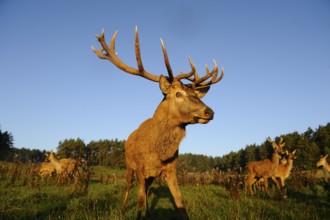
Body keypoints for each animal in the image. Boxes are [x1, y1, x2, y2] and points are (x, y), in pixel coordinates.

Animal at [91, 26, 223, 219]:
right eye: (178, 94)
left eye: (196, 95)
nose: (210, 112)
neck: (158, 152)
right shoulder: (140, 168)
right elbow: (138, 201)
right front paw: (138, 214)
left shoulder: (171, 170)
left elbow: (180, 203)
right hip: (129, 165)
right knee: (129, 186)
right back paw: (122, 210)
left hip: (150, 176)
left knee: (147, 189)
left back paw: (149, 212)